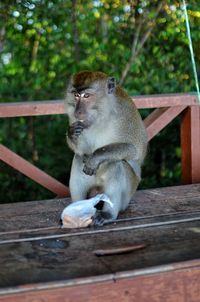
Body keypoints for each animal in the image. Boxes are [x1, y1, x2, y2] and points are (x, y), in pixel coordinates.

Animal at [65, 71, 148, 225]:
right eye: (76, 95)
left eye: (86, 96)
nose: (77, 112)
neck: (102, 114)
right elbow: (83, 151)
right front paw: (72, 133)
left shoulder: (125, 114)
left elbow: (134, 149)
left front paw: (96, 158)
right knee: (79, 158)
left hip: (127, 195)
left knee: (115, 164)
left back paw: (108, 214)